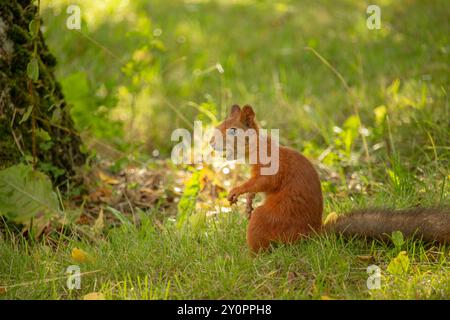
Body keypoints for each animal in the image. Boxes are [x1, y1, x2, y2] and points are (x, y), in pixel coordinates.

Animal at [211, 104, 450, 251]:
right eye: (219, 126)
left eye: (233, 130)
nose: (212, 142)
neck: (257, 146)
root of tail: (310, 235)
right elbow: (258, 186)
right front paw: (247, 201)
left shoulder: (272, 165)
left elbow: (264, 182)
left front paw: (238, 190)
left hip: (270, 221)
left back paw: (250, 257)